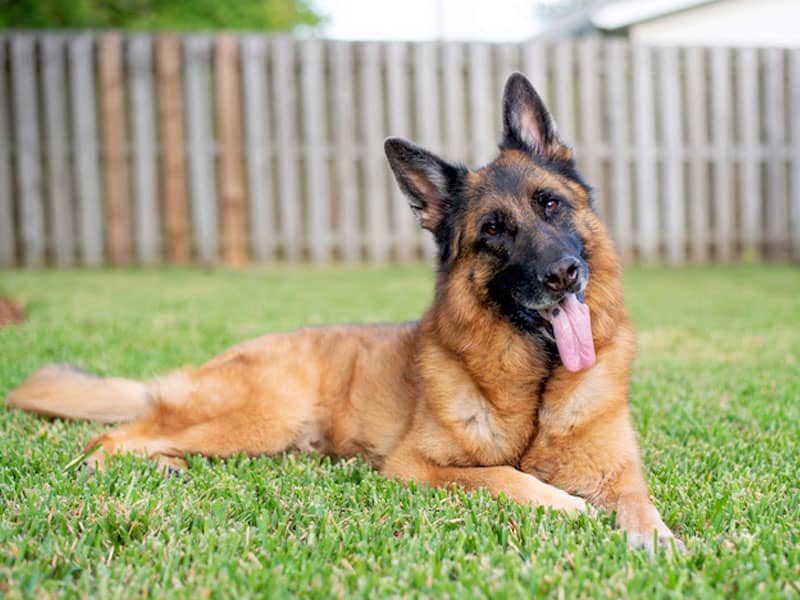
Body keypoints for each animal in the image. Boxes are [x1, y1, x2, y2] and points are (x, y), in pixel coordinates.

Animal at [6, 72, 680, 556]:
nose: (562, 275)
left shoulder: (621, 473)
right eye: (494, 231)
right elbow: (504, 478)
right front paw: (568, 507)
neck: (539, 385)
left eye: (551, 205)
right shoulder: (416, 466)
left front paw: (658, 540)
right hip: (265, 417)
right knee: (109, 437)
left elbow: (640, 503)